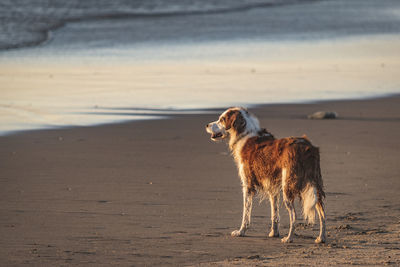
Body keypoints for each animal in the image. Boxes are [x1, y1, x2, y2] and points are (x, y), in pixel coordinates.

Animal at [206, 108, 324, 244]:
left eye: (222, 119)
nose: (207, 125)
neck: (244, 134)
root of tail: (306, 146)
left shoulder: (248, 186)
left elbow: (246, 213)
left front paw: (241, 232)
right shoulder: (272, 186)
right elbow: (274, 213)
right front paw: (274, 233)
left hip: (288, 187)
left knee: (294, 215)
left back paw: (289, 238)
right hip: (315, 185)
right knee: (322, 212)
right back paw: (321, 238)